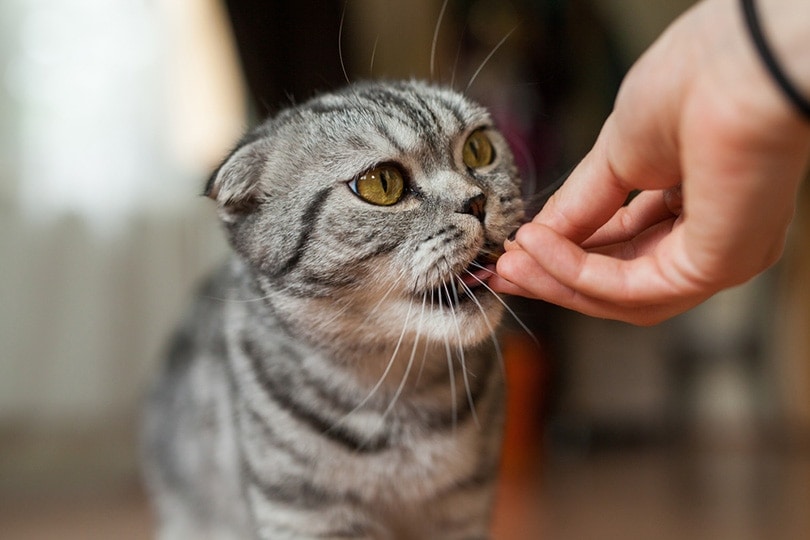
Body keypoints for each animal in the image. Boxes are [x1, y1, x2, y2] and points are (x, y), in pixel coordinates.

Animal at [141, 80, 524, 540]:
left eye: (478, 150)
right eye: (381, 183)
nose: (477, 201)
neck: (402, 393)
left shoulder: (464, 508)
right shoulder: (305, 514)